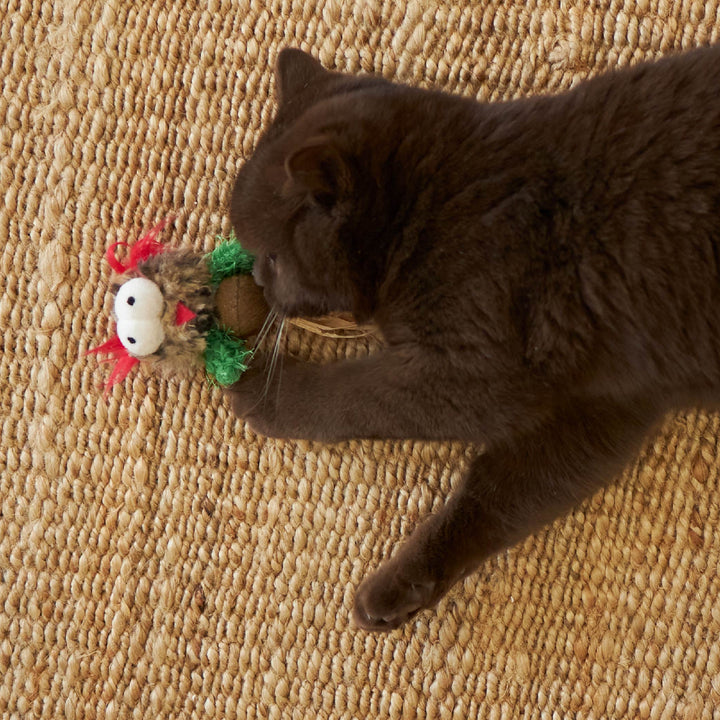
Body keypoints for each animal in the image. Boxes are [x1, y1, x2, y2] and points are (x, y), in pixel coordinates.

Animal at [228, 46, 720, 632]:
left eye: (272, 257)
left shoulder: (476, 374)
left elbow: (358, 393)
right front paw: (401, 590)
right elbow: (505, 493)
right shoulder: (606, 405)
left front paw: (260, 389)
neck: (433, 210)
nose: (258, 284)